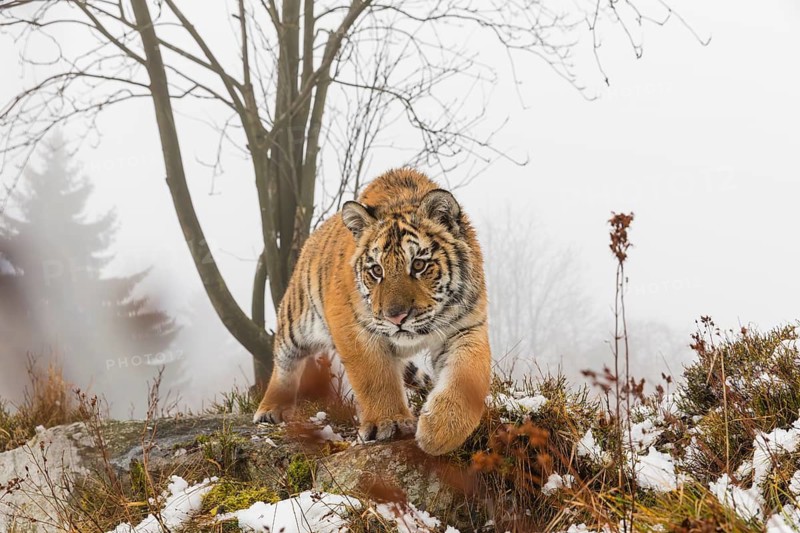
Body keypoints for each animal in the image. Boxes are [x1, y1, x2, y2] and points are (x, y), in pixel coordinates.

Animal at [253, 168, 491, 455]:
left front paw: (441, 431)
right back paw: (270, 409)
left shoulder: (466, 327)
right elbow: (375, 378)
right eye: (377, 270)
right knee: (285, 364)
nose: (396, 317)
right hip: (294, 323)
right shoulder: (354, 329)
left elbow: (466, 377)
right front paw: (389, 423)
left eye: (419, 265)